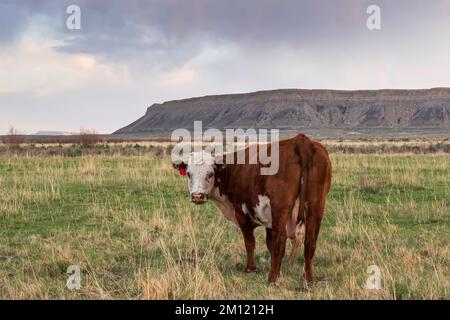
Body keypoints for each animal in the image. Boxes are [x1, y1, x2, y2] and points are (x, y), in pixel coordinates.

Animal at [174, 134, 332, 284]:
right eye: (189, 174)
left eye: (210, 173)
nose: (197, 196)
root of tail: (301, 141)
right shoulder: (269, 219)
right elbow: (270, 244)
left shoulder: (241, 212)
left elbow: (250, 242)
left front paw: (251, 268)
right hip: (316, 205)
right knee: (310, 241)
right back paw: (308, 278)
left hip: (281, 207)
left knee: (281, 240)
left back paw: (272, 279)